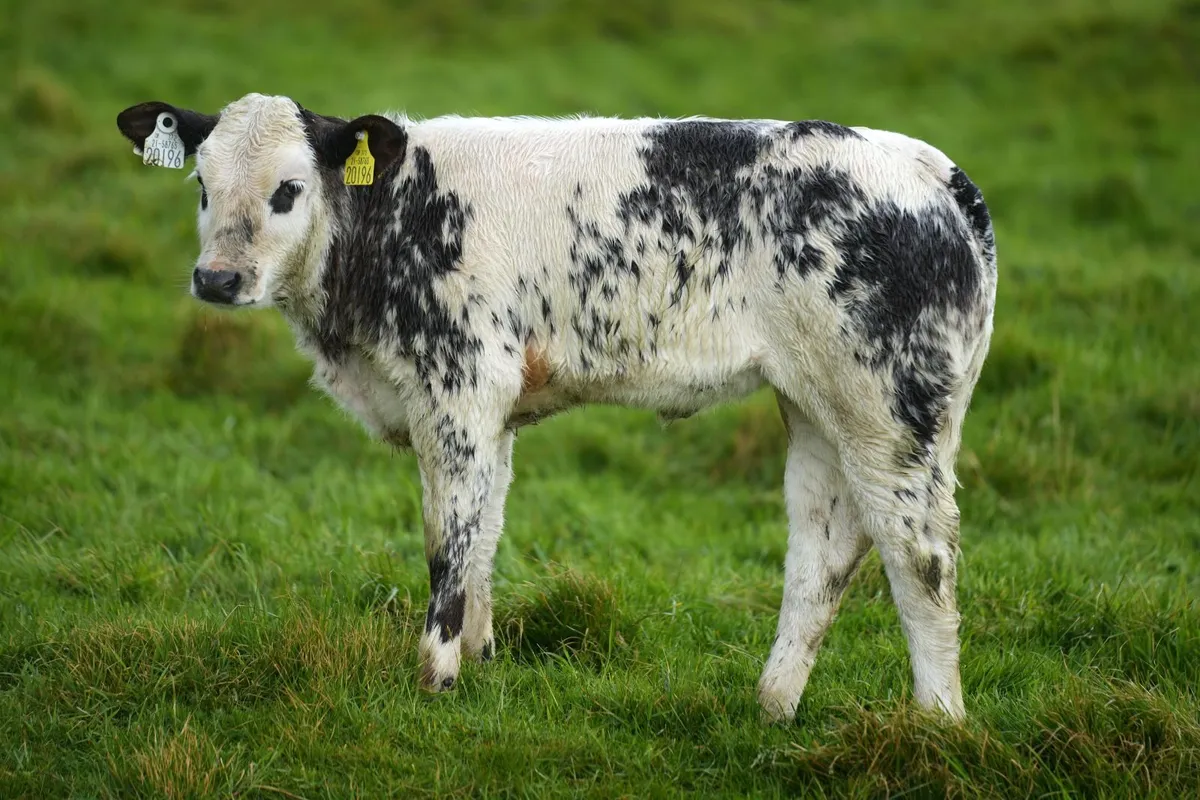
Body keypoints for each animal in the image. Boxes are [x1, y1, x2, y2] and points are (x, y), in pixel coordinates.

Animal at [116, 92, 996, 722]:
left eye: (289, 190)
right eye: (202, 186)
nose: (218, 279)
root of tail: (934, 172)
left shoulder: (459, 387)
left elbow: (448, 537)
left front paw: (434, 676)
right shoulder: (489, 408)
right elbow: (483, 531)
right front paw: (479, 657)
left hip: (889, 407)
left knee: (920, 553)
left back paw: (937, 724)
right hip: (816, 404)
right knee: (825, 549)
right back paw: (772, 707)